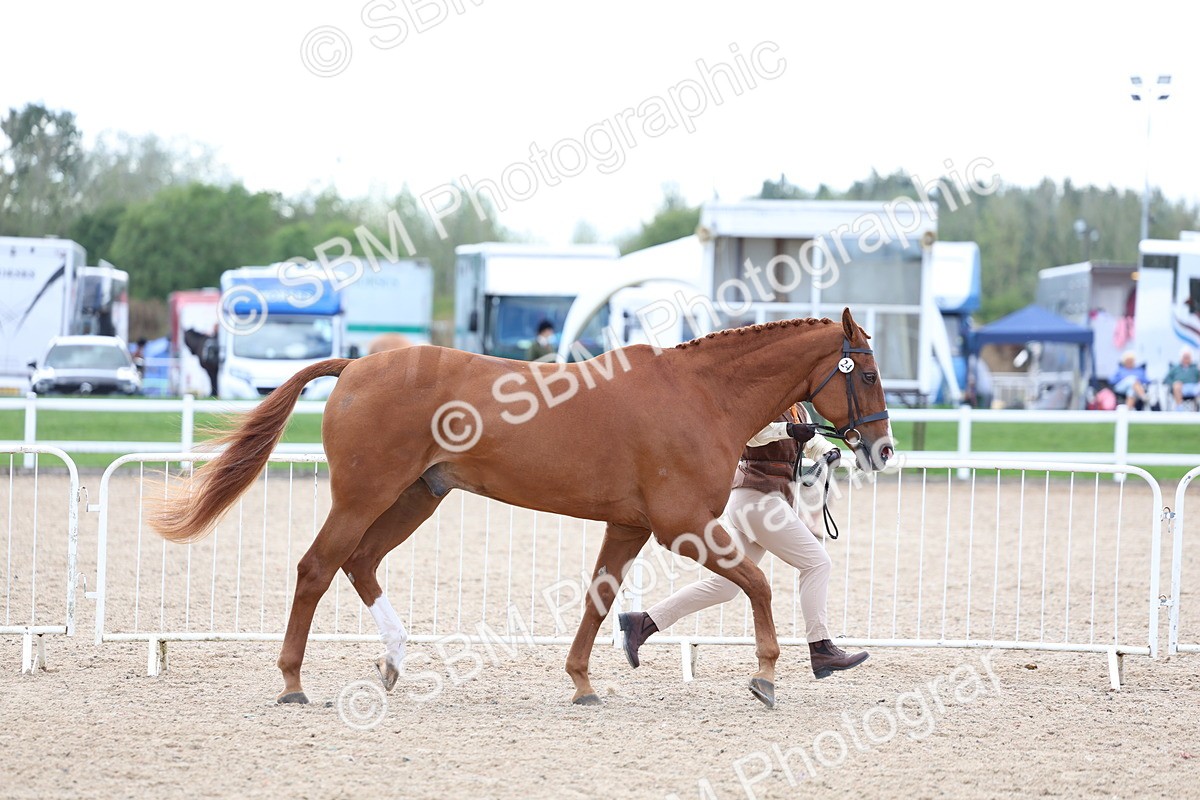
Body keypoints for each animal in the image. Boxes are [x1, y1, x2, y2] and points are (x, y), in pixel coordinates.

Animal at [148, 308, 893, 708]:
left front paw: (583, 682)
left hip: (416, 498)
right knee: (316, 568)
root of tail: (356, 366)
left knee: (359, 565)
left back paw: (393, 661)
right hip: (364, 495)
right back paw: (293, 682)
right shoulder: (682, 528)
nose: (883, 449)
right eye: (868, 371)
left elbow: (599, 599)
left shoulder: (629, 526)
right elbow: (760, 585)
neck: (698, 396)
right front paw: (766, 674)